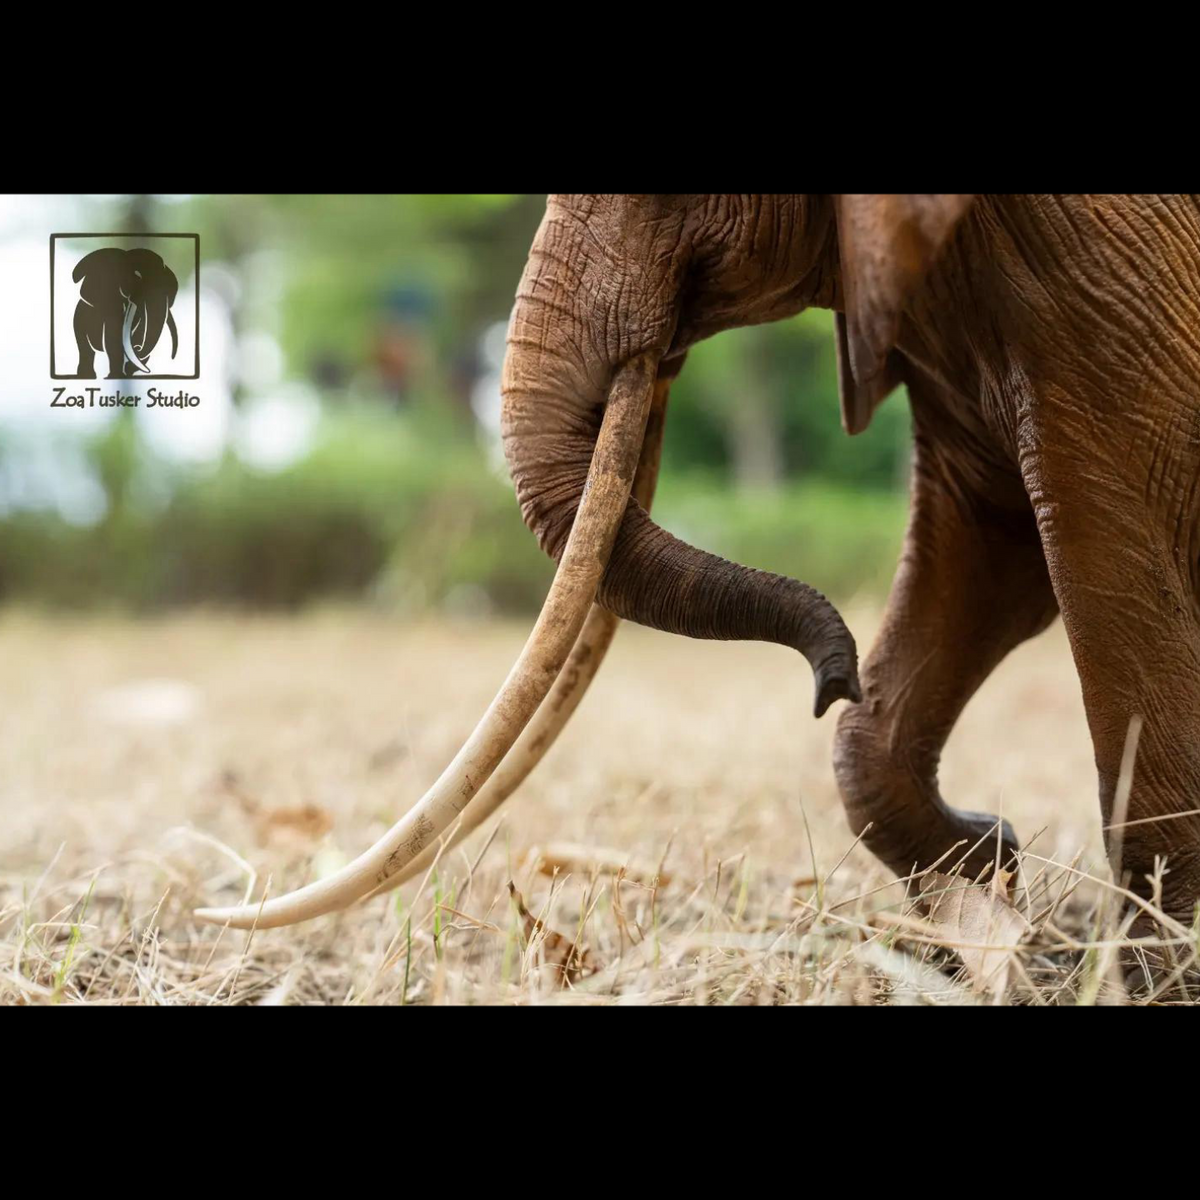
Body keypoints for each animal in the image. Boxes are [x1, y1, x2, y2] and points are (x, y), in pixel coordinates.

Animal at [195, 194, 1200, 950]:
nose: (831, 679)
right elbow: (985, 553)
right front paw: (985, 873)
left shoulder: (1103, 290)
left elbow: (1101, 564)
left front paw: (1152, 967)